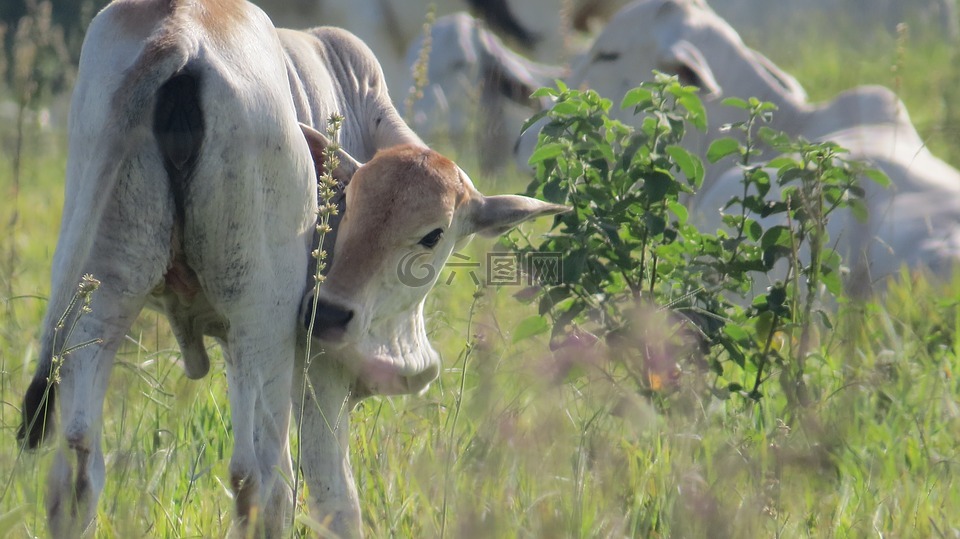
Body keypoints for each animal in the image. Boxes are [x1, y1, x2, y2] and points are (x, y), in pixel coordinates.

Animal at [15, 1, 568, 539]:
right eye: (346, 207)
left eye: (433, 234)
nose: (330, 313)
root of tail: (181, 31)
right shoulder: (317, 365)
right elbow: (337, 502)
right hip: (263, 320)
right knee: (258, 481)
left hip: (101, 293)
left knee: (78, 465)